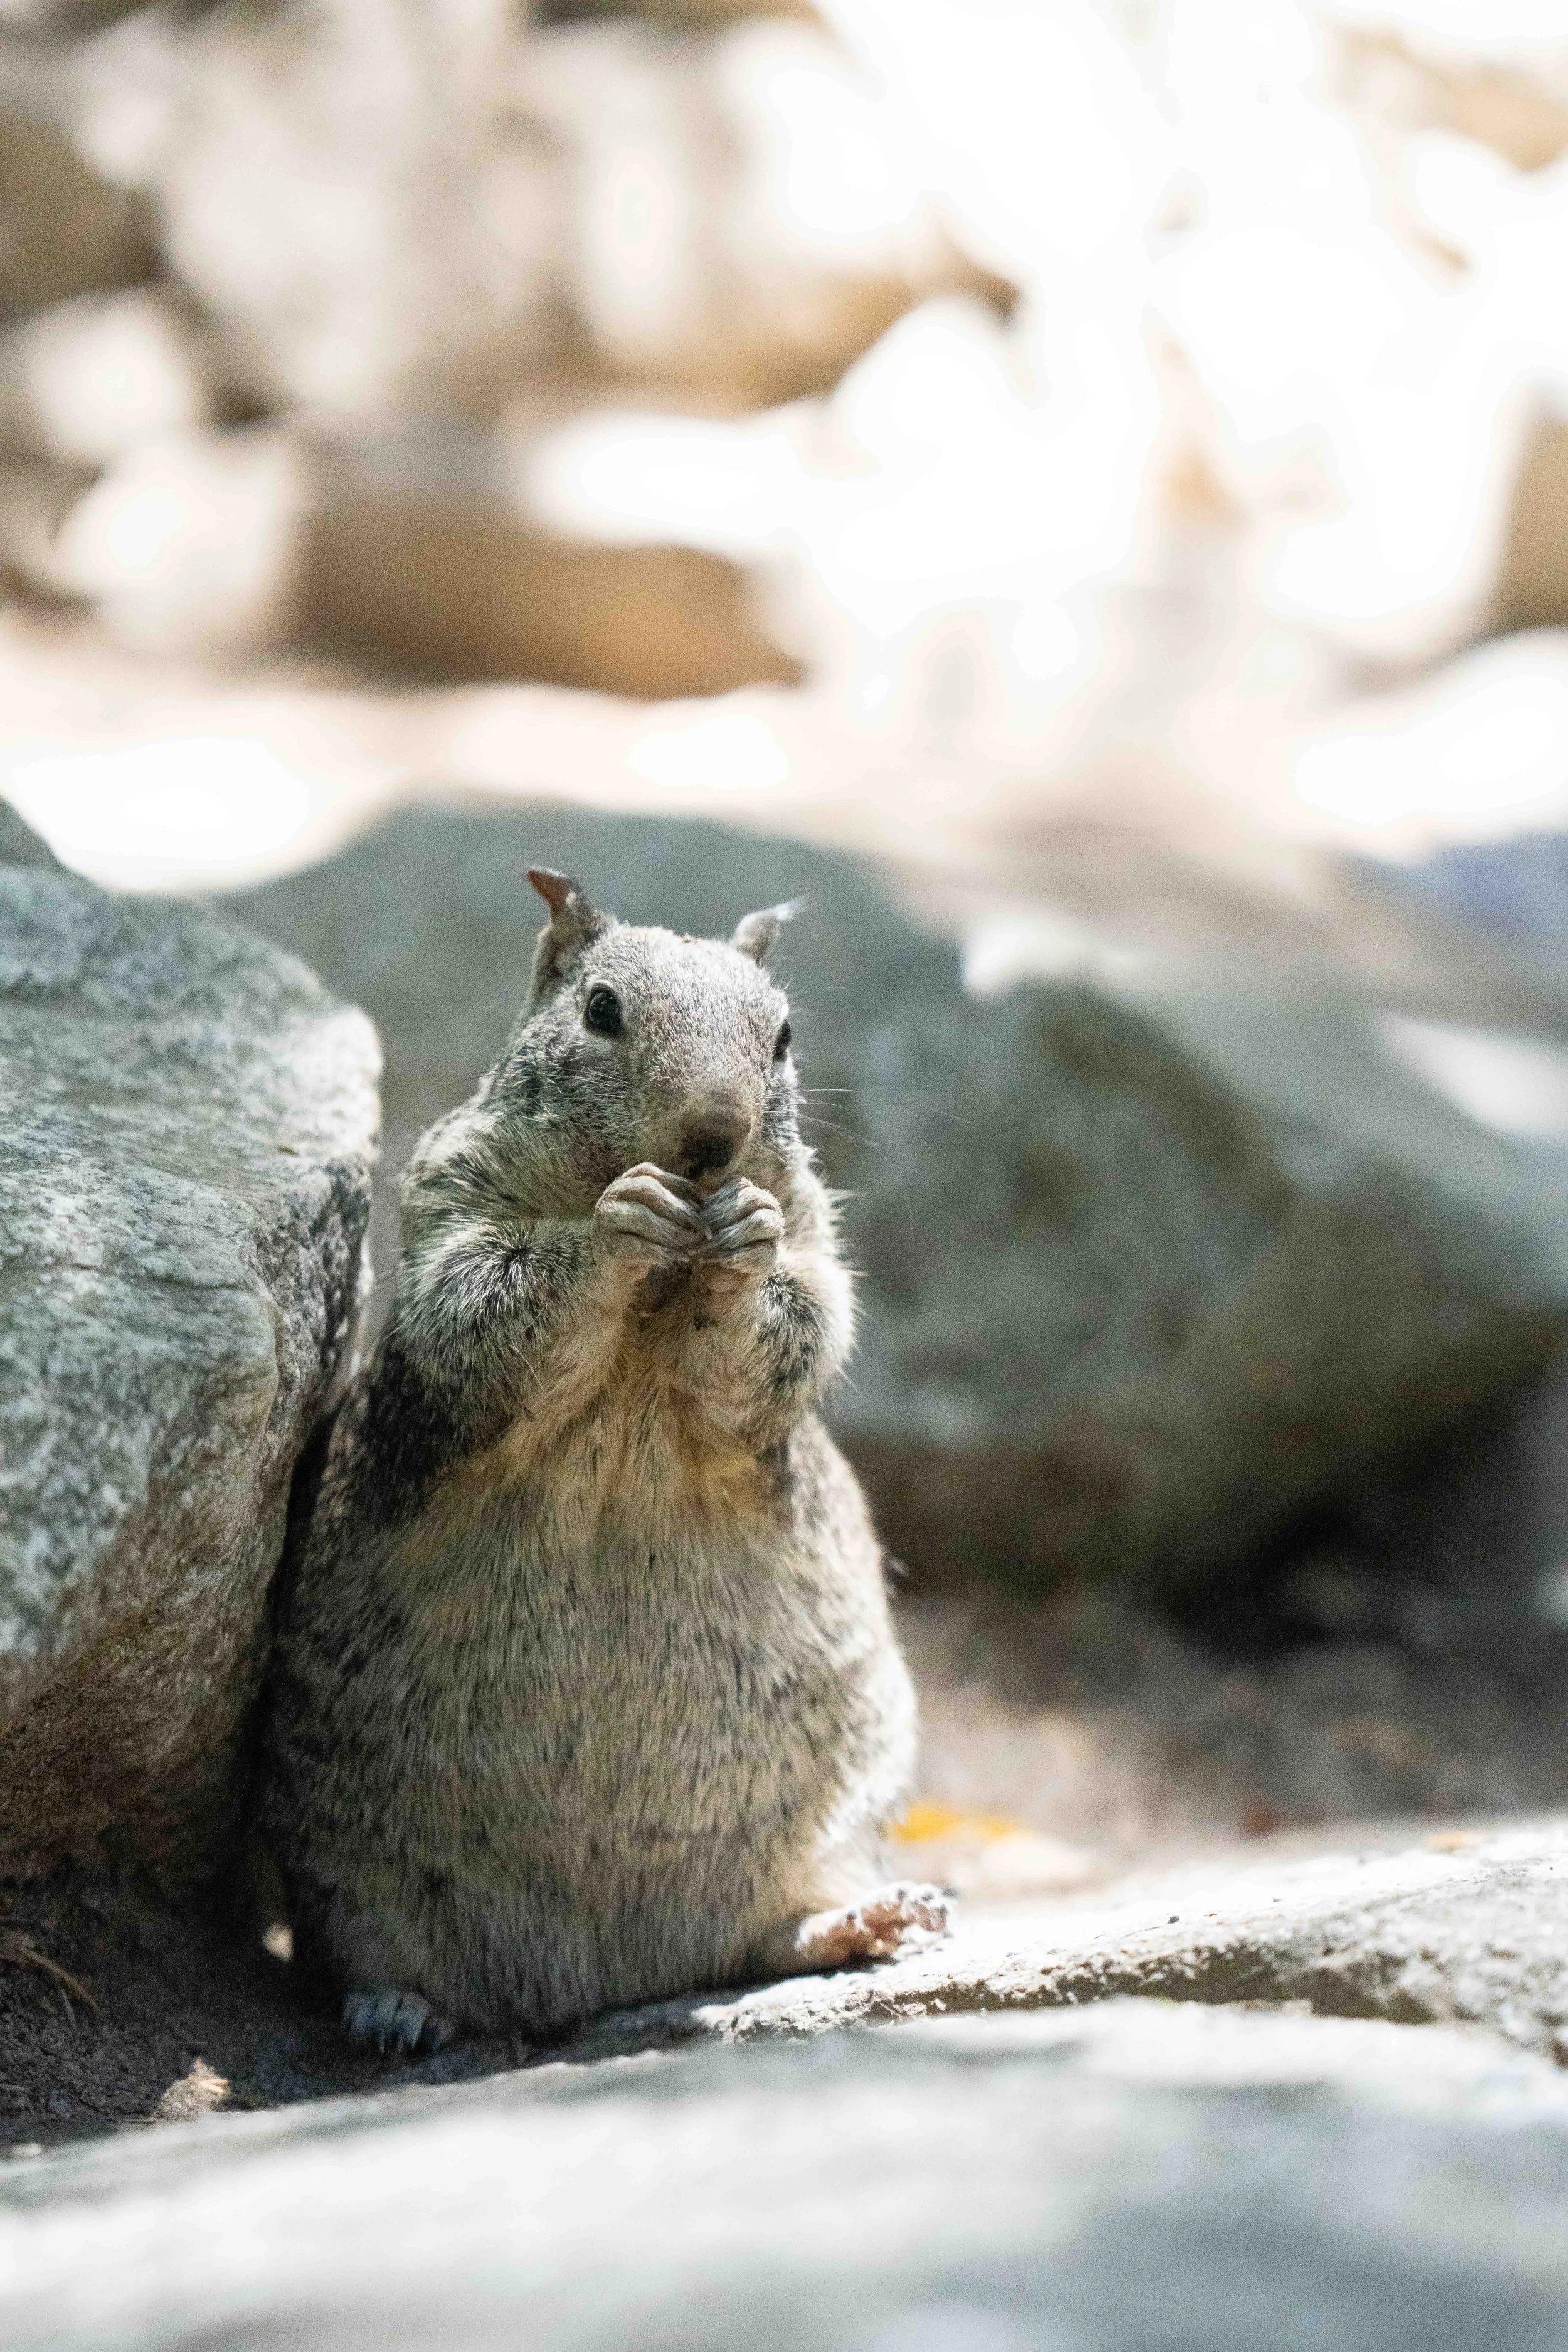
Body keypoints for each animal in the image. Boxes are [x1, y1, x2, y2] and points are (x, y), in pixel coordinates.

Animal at [259, 867, 946, 2053]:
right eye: (601, 1011)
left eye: (784, 1035)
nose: (715, 1136)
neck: (663, 1293)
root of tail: (592, 1978)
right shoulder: (450, 1206)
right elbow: (489, 1303)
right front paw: (619, 1222)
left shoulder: (816, 1256)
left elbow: (793, 1323)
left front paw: (744, 1237)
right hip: (339, 1863)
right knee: (368, 1951)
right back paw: (396, 2009)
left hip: (834, 1811)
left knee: (770, 1933)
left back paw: (864, 1919)